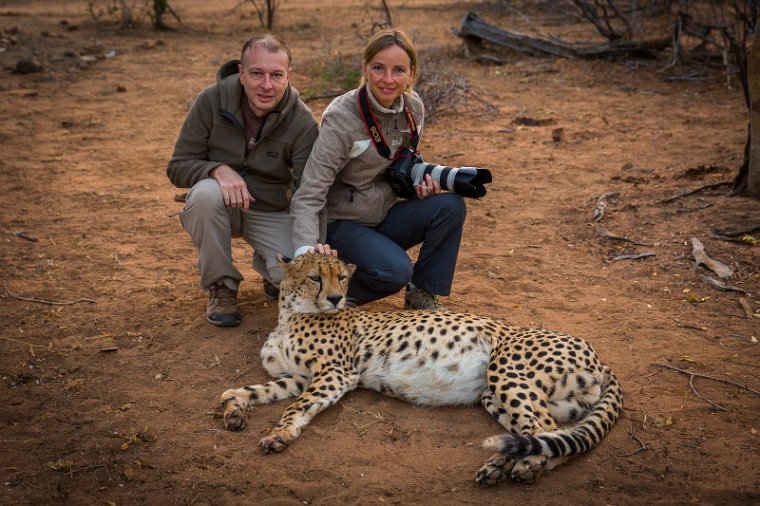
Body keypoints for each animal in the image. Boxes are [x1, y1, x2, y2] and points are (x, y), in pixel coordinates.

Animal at [220, 255, 624, 484]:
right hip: (494, 395)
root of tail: (600, 357)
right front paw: (235, 407)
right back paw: (500, 465)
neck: (292, 313)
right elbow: (252, 391)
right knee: (546, 433)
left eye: (343, 278)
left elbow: (297, 406)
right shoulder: (296, 377)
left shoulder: (335, 373)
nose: (335, 298)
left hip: (505, 369)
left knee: (547, 430)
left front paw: (280, 434)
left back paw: (522, 467)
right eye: (315, 277)